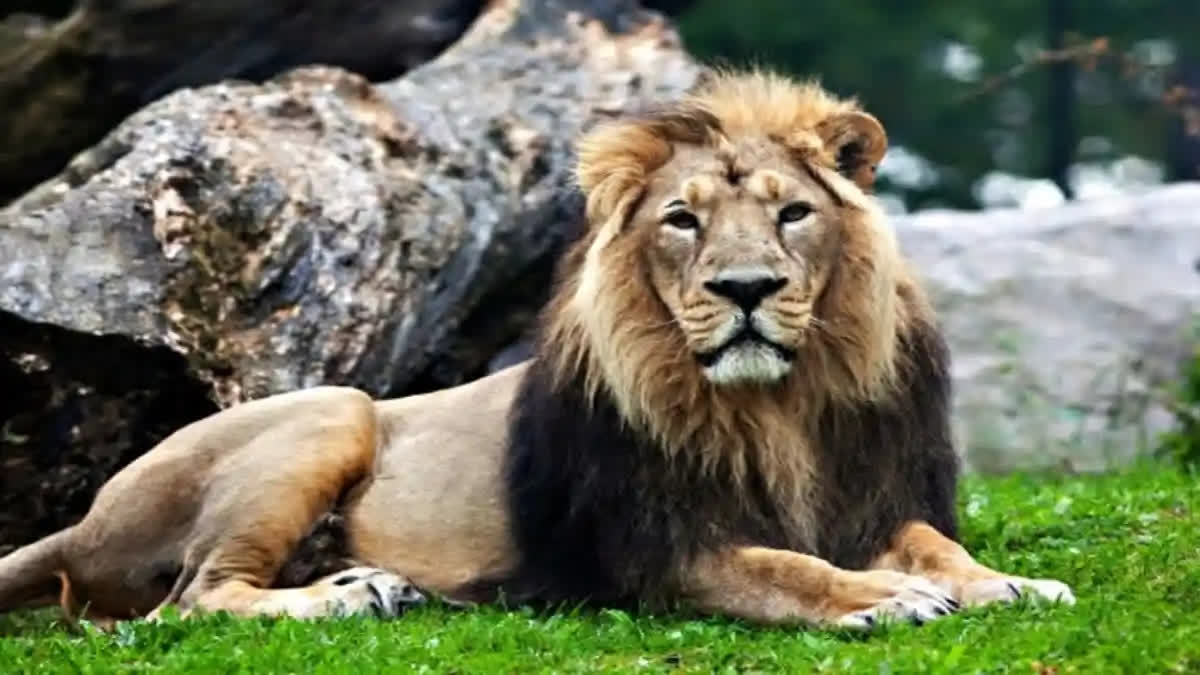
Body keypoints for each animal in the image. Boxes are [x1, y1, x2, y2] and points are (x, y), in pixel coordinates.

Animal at [0, 68, 1073, 631]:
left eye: (793, 214)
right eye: (683, 220)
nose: (745, 289)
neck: (776, 407)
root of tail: (83, 518)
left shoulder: (869, 499)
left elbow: (936, 543)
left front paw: (1005, 582)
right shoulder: (651, 549)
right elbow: (786, 568)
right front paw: (887, 599)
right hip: (334, 407)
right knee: (190, 600)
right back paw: (354, 594)